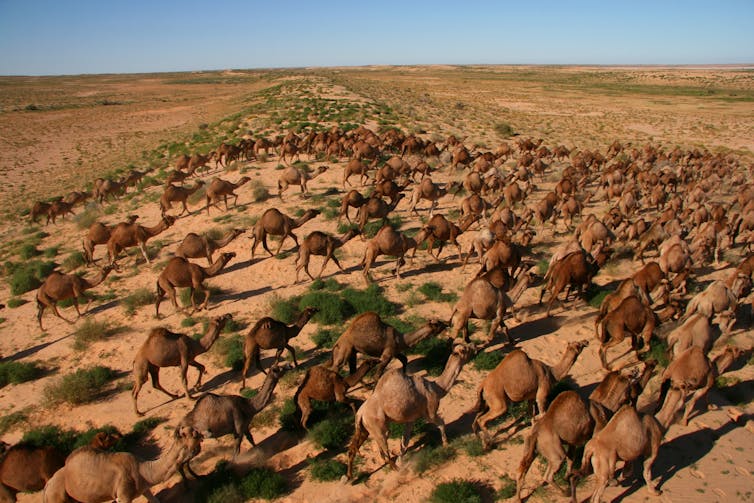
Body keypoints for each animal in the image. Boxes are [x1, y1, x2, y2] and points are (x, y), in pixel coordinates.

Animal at [42, 426, 203, 502]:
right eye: (193, 434)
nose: (201, 433)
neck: (143, 470)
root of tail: (47, 486)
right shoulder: (123, 495)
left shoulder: (144, 488)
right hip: (56, 496)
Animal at [346, 343, 474, 479]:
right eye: (464, 349)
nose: (473, 345)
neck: (437, 388)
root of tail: (359, 414)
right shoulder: (430, 412)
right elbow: (441, 424)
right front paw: (446, 444)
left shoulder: (411, 418)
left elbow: (405, 441)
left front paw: (401, 460)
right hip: (377, 426)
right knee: (385, 448)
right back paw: (398, 471)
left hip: (364, 428)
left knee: (353, 448)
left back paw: (350, 476)